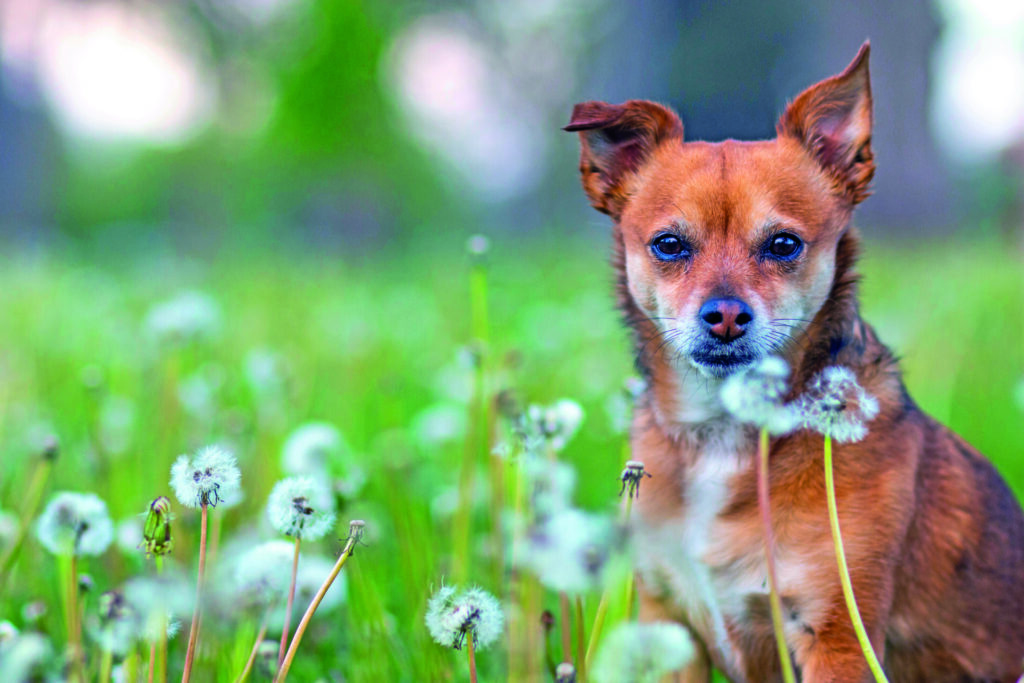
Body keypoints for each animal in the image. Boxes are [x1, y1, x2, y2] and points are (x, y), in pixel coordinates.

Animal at [565, 44, 1024, 683]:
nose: (725, 315)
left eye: (783, 244)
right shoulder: (668, 630)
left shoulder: (837, 638)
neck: (724, 435)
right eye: (668, 245)